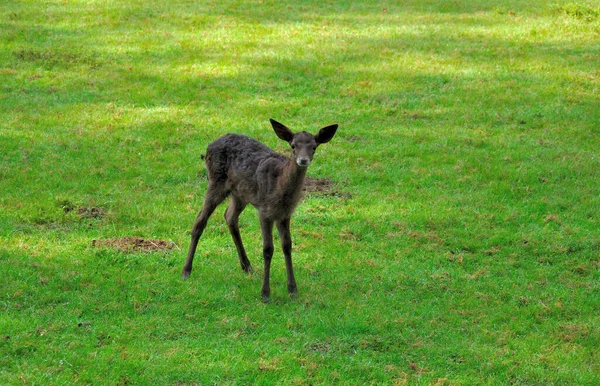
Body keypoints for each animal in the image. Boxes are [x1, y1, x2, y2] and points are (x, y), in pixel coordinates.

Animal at [180, 119, 340, 300]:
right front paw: (265, 293)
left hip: (240, 193)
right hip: (215, 181)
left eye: (314, 146)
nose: (303, 160)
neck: (280, 187)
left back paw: (247, 266)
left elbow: (287, 245)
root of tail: (208, 147)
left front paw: (293, 289)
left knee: (229, 216)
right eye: (293, 146)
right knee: (200, 220)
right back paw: (186, 270)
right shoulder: (265, 210)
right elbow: (268, 249)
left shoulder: (284, 214)